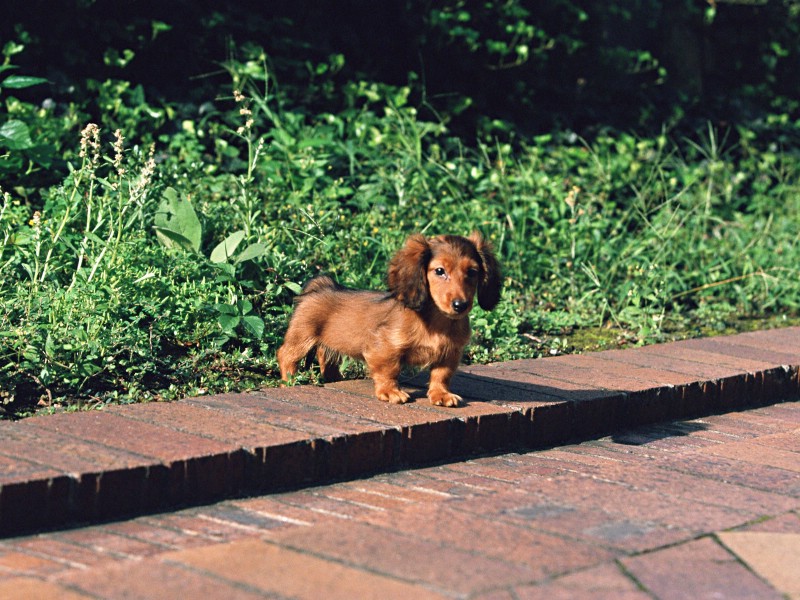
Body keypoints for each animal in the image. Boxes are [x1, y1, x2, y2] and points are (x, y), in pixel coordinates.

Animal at [276, 232, 500, 406]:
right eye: (439, 271)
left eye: (472, 272)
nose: (460, 305)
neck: (437, 322)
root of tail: (321, 286)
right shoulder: (384, 348)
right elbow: (388, 371)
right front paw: (390, 392)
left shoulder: (449, 354)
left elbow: (441, 375)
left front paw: (441, 395)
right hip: (302, 336)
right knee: (285, 355)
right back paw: (290, 381)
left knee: (326, 357)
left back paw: (334, 379)